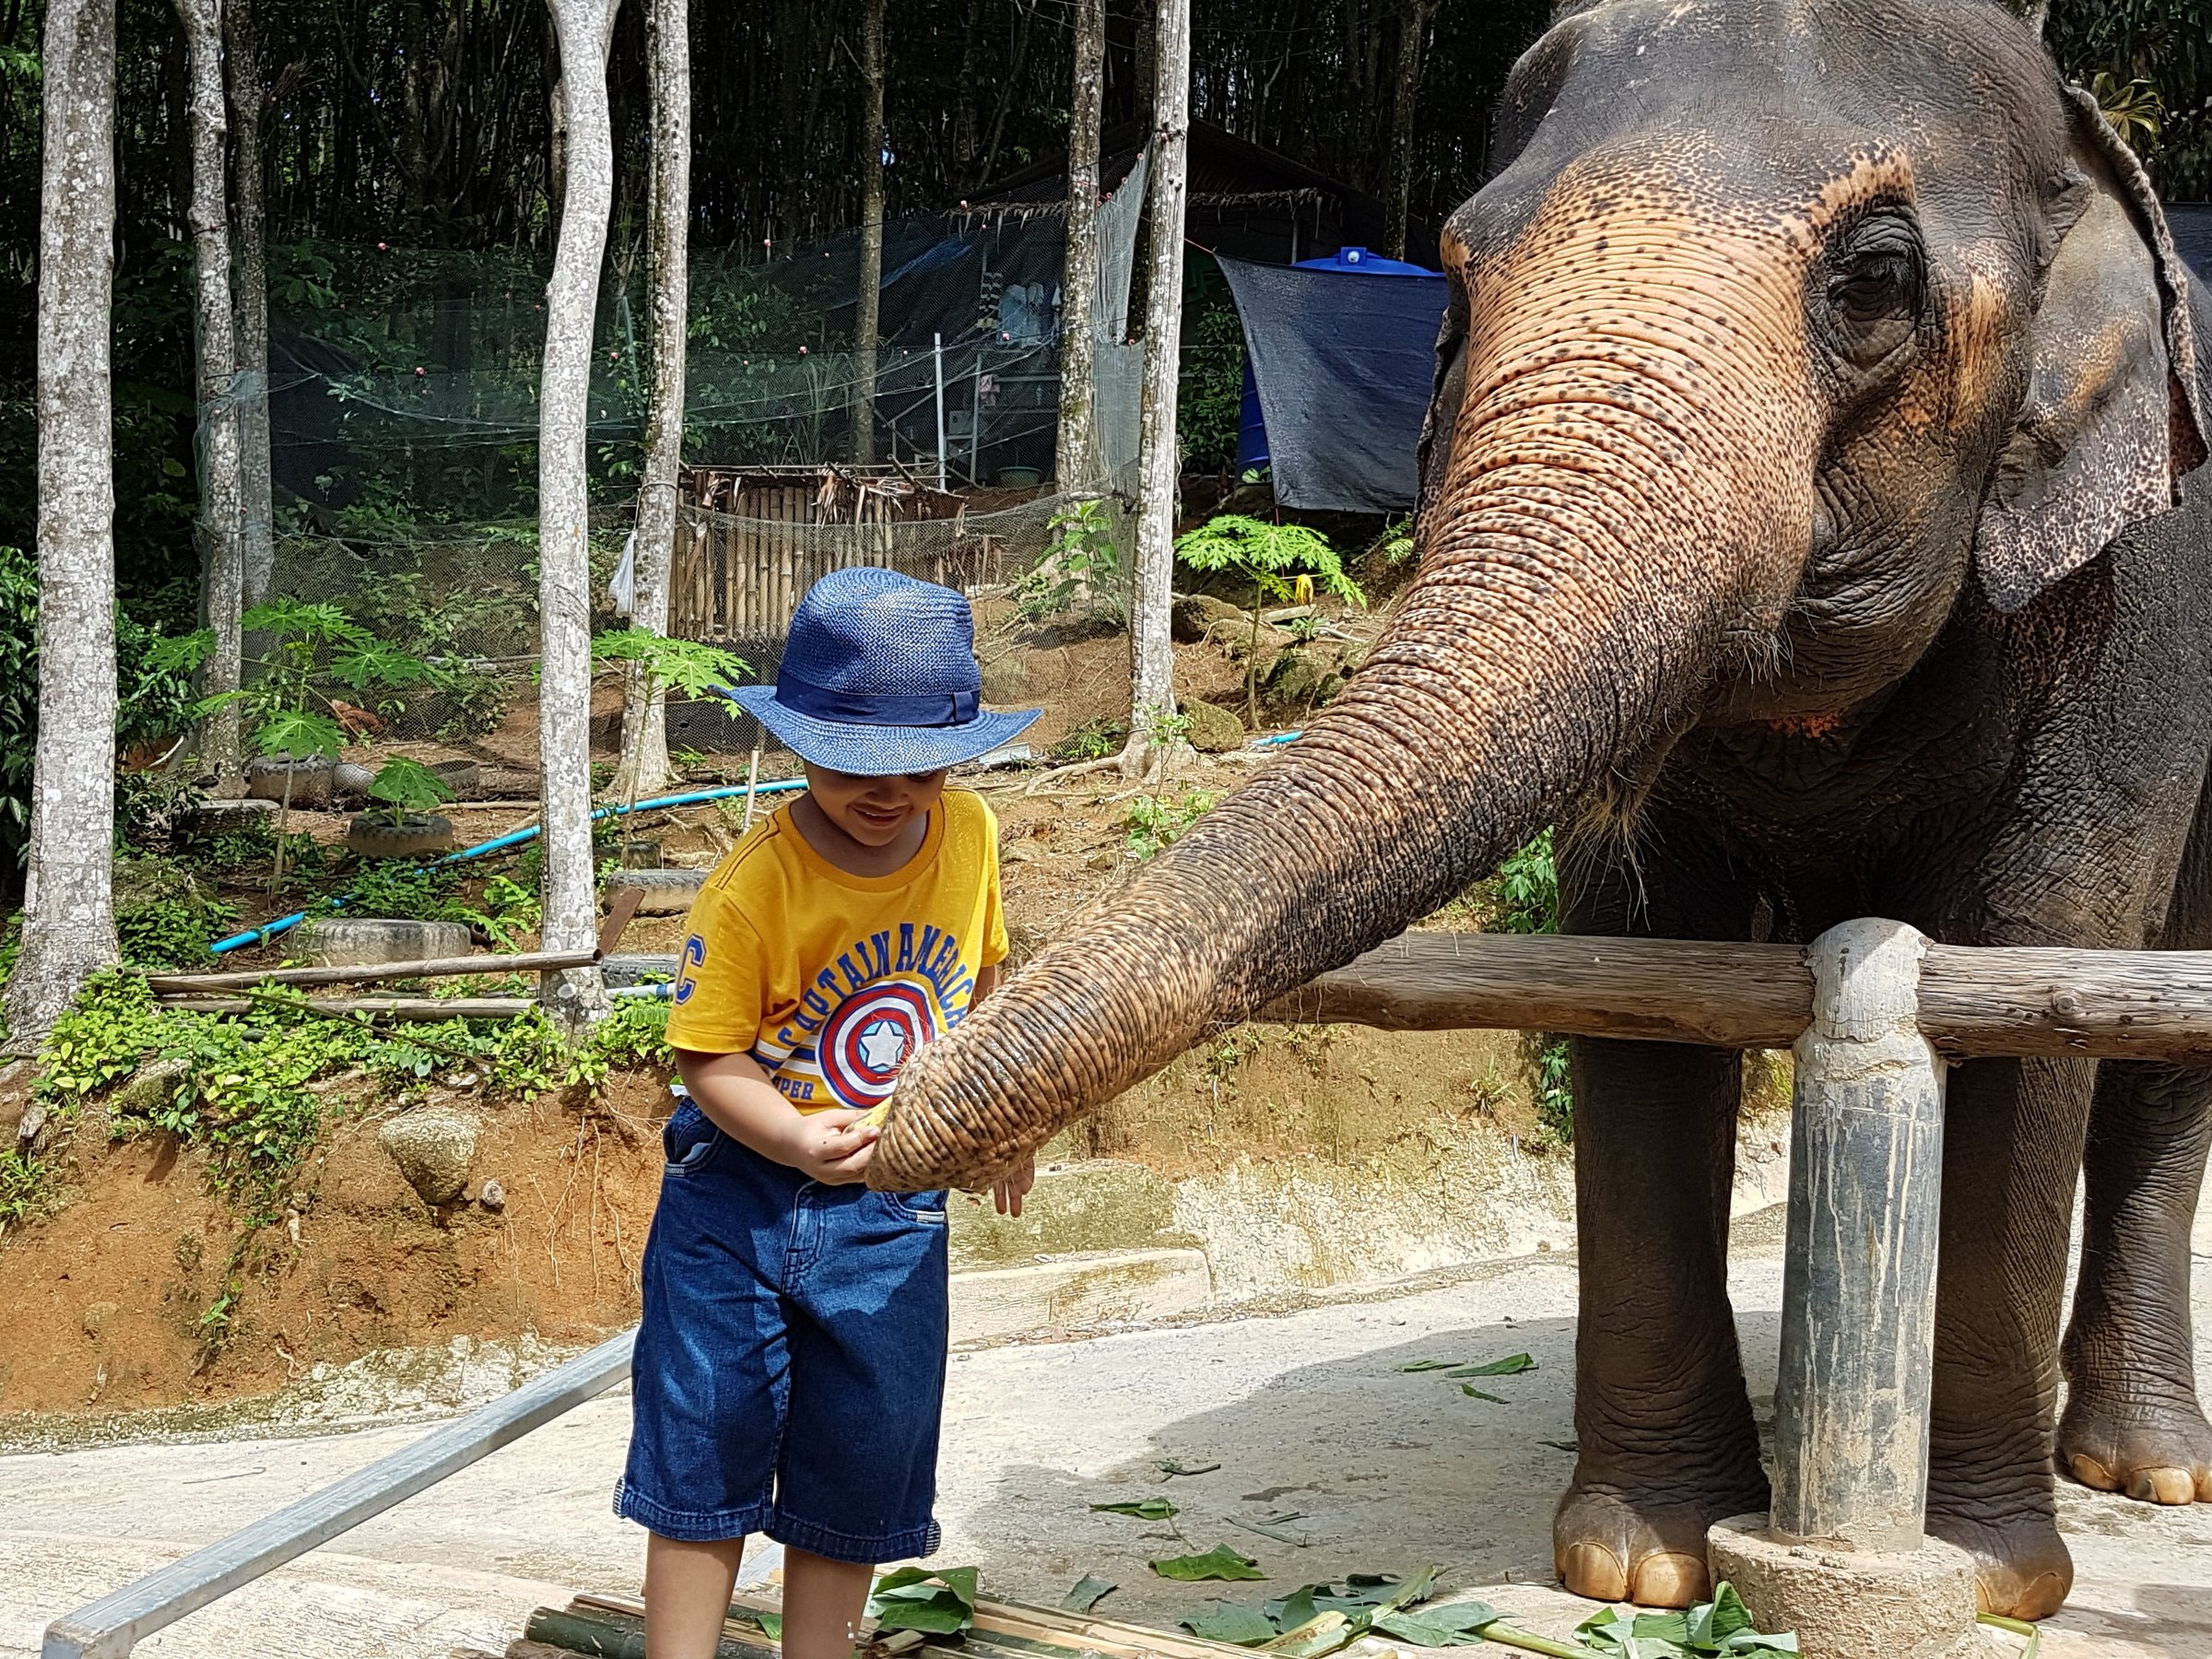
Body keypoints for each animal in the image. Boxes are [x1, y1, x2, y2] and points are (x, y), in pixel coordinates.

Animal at [871, 0, 2212, 1628]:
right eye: (1459, 268)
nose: (877, 1126)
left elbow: (2026, 978)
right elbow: (1641, 977)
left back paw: (2147, 1470)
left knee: (2158, 1057)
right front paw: (1639, 1561)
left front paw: (1990, 1577)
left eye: (1877, 281)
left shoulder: (2136, 617)